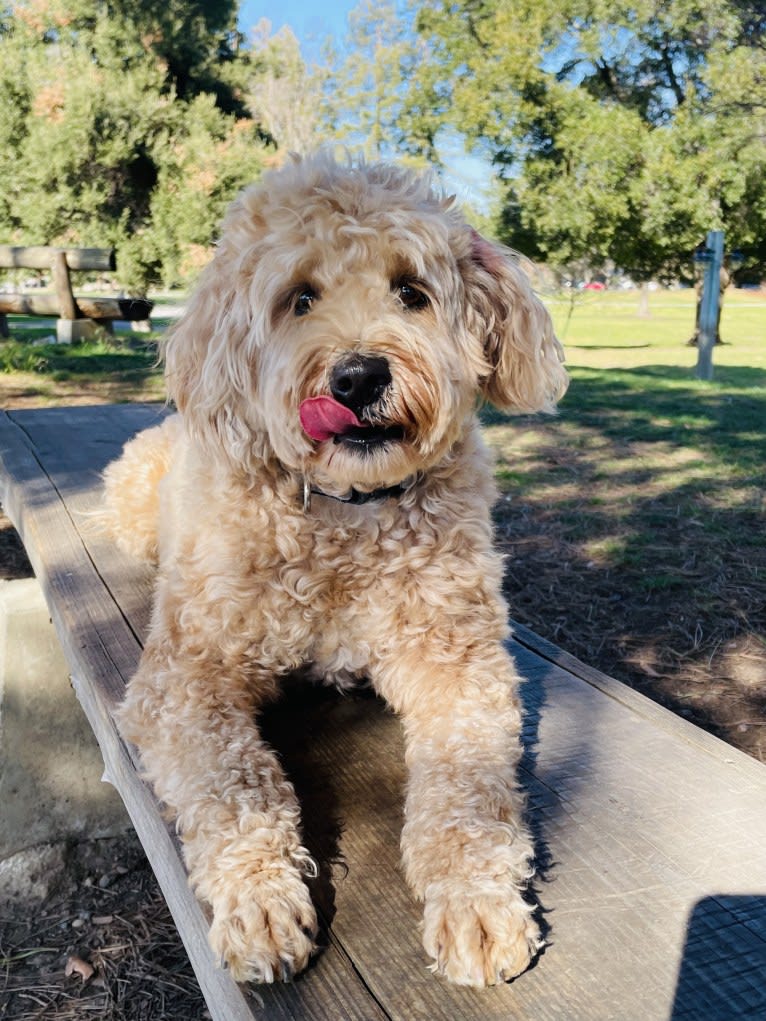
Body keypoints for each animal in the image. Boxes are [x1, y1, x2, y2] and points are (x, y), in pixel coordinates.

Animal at [102, 153, 567, 988]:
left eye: (411, 290)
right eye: (300, 298)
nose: (356, 376)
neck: (346, 515)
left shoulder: (460, 663)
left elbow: (468, 786)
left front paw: (476, 899)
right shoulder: (184, 681)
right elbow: (235, 785)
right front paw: (259, 897)